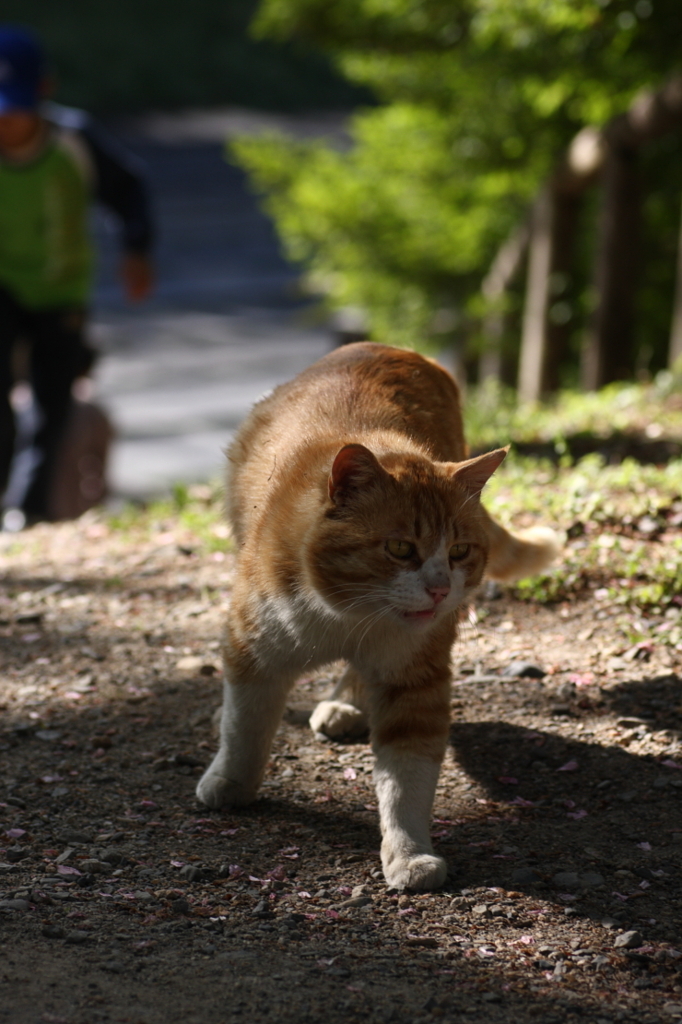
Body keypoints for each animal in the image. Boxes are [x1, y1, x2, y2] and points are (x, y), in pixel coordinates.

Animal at [196, 344, 557, 888]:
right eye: (401, 548)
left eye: (459, 551)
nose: (440, 589)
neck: (348, 616)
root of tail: (391, 347)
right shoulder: (252, 649)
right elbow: (246, 729)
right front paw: (230, 783)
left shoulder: (414, 680)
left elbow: (406, 782)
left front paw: (409, 853)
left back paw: (345, 704)